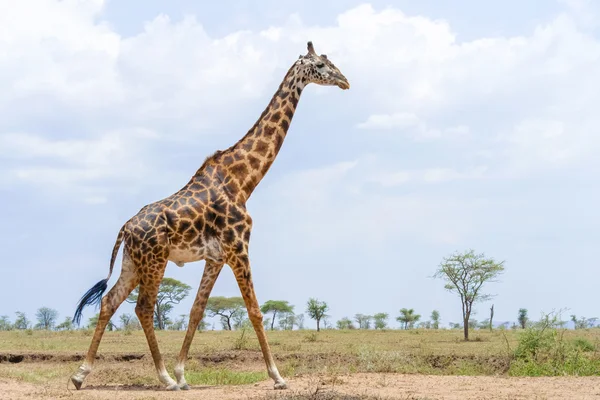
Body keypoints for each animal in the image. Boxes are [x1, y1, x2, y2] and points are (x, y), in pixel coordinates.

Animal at [68, 40, 350, 390]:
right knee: (144, 308)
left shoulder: (216, 257)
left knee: (109, 301)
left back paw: (81, 374)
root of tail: (125, 228)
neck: (244, 181)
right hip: (155, 260)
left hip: (133, 262)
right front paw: (277, 376)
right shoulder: (239, 248)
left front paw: (183, 373)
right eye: (322, 66)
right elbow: (255, 311)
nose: (345, 81)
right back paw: (163, 378)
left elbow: (197, 310)